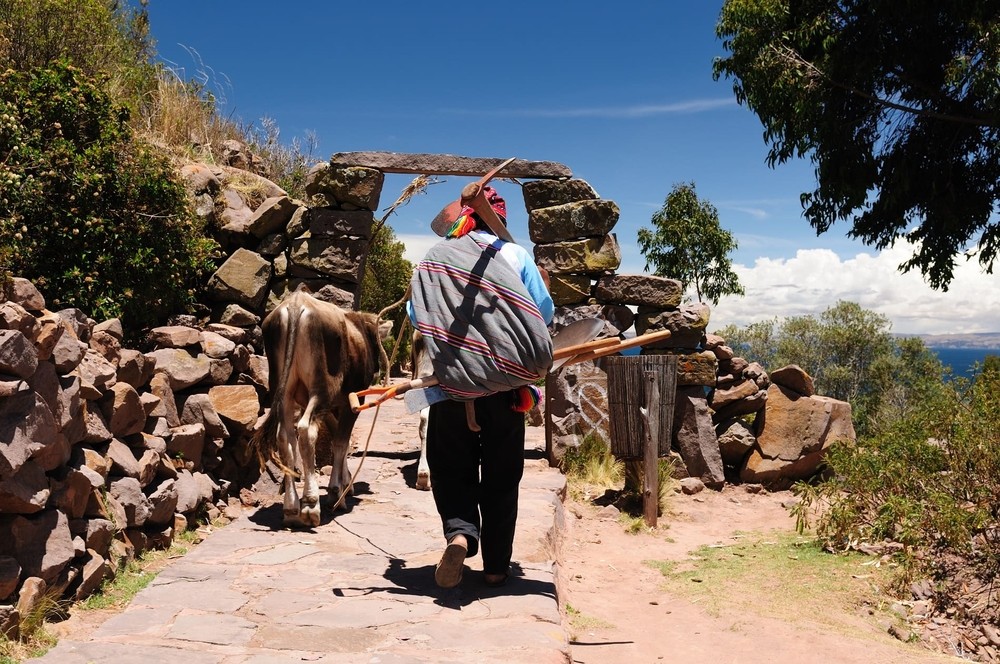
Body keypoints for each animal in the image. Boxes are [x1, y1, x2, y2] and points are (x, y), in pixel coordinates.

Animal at [252, 290, 388, 524]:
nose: (378, 368)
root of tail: (296, 303)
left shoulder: (330, 406)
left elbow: (337, 439)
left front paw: (345, 482)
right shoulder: (351, 401)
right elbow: (341, 442)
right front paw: (337, 492)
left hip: (283, 391)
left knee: (285, 436)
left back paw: (291, 507)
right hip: (322, 388)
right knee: (306, 431)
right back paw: (310, 504)